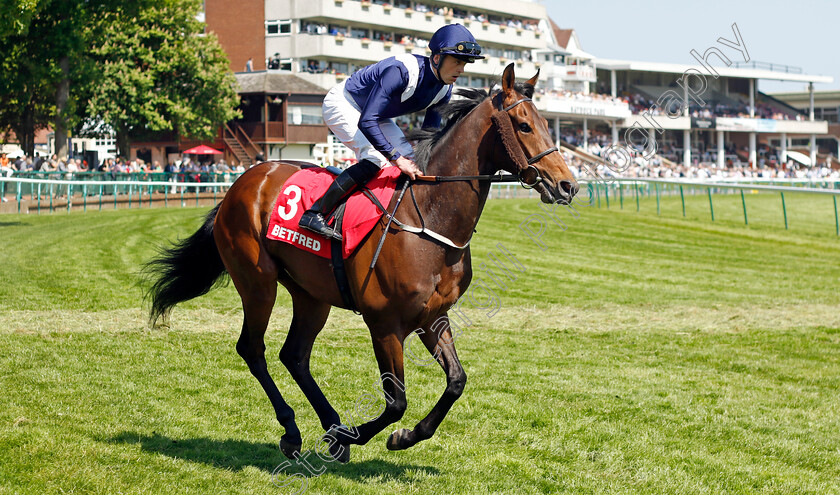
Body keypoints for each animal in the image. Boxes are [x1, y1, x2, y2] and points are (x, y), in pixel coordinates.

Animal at [144, 64, 576, 464]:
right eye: (524, 126)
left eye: (547, 126)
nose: (567, 185)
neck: (430, 217)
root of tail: (240, 183)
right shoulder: (384, 323)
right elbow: (396, 402)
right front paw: (366, 435)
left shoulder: (433, 317)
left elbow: (456, 381)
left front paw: (398, 436)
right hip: (257, 283)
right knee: (252, 349)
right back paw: (293, 432)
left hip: (311, 295)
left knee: (294, 355)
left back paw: (330, 427)